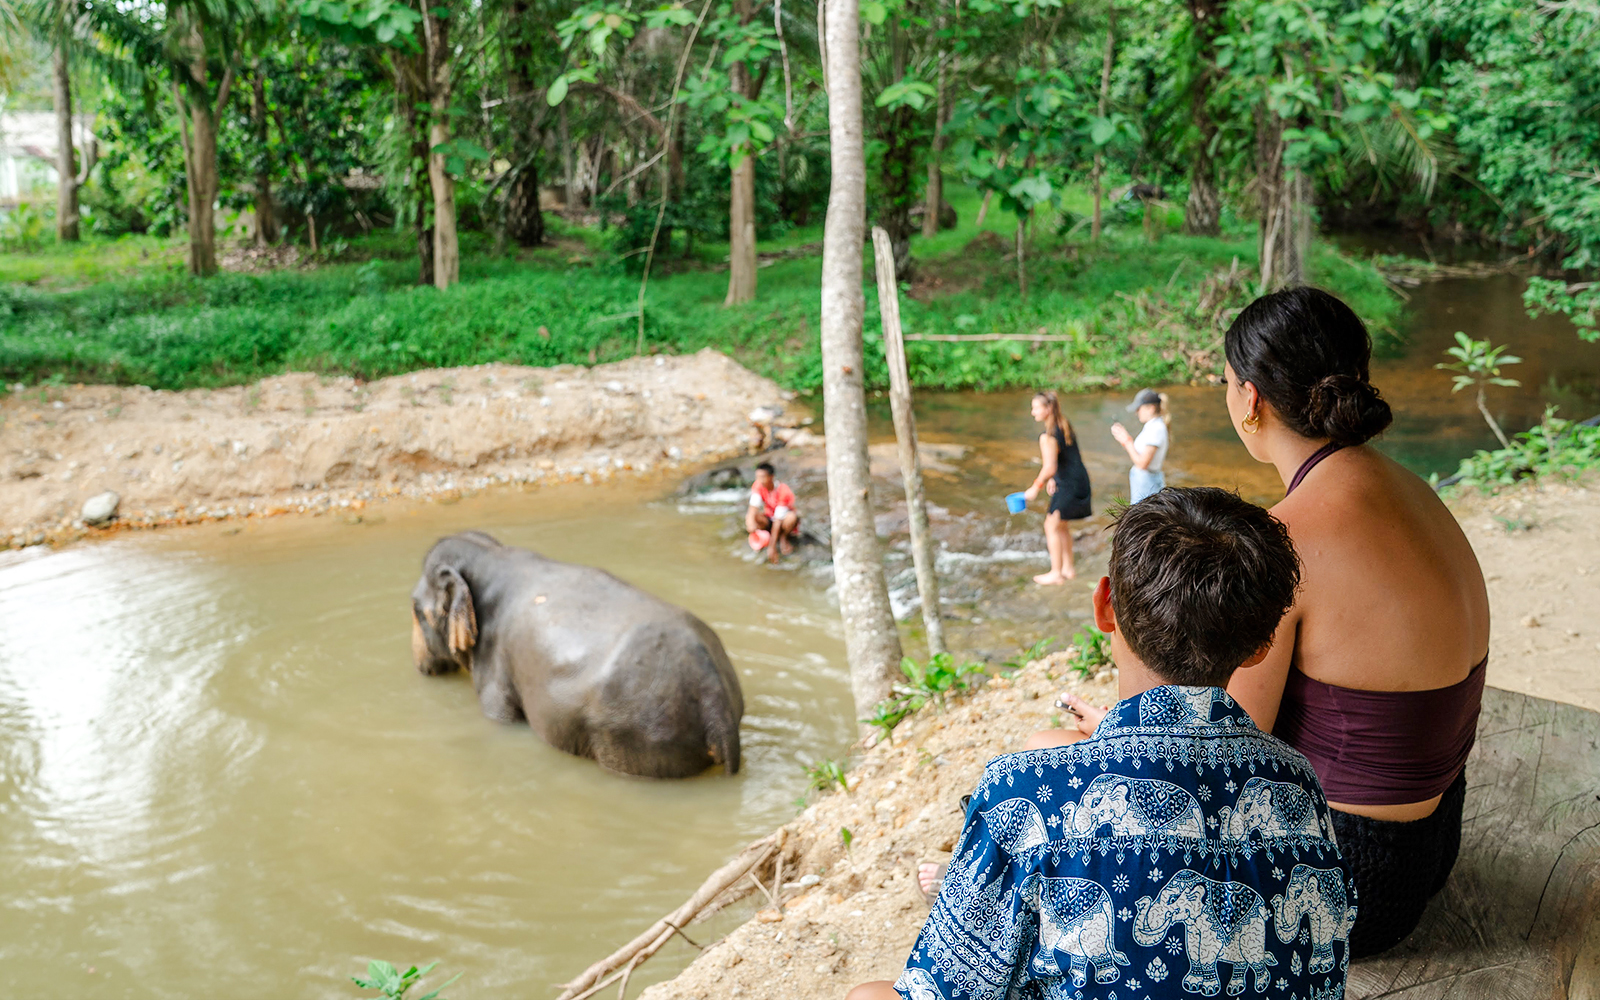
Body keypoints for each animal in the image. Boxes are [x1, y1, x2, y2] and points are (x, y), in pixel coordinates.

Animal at [410, 531, 743, 778]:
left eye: (415, 608)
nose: (423, 667)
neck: (492, 553)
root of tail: (717, 707)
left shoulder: (494, 662)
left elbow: (500, 718)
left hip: (634, 735)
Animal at [1133, 870, 1276, 996]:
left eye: (1172, 899)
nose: (1141, 903)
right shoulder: (1192, 927)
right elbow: (1192, 947)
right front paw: (1191, 985)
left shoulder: (1209, 923)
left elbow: (1206, 950)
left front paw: (1209, 989)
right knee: (1241, 960)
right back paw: (1235, 988)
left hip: (1255, 928)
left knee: (1251, 954)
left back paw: (1261, 985)